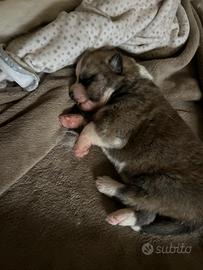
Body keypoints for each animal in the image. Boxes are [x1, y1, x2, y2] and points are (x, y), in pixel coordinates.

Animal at [59, 49, 203, 235]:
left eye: (87, 79)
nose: (70, 93)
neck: (128, 82)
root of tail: (197, 219)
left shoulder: (115, 123)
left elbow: (90, 127)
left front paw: (79, 147)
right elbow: (90, 119)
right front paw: (71, 120)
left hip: (162, 184)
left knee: (138, 198)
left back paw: (107, 185)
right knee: (146, 214)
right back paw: (120, 216)